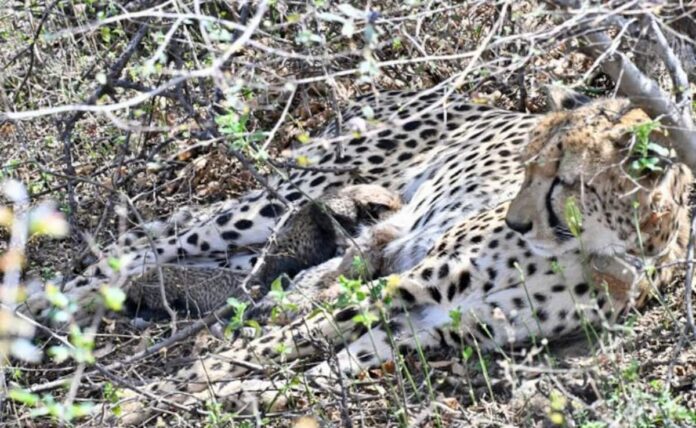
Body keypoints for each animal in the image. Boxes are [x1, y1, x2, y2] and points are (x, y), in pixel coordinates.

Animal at [89, 89, 692, 426]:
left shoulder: (435, 323)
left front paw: (241, 397)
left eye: (563, 179)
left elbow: (313, 371)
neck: (598, 250)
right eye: (524, 168)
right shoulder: (405, 285)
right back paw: (80, 303)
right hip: (293, 190)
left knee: (241, 272)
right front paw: (139, 401)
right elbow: (260, 351)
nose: (515, 221)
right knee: (142, 243)